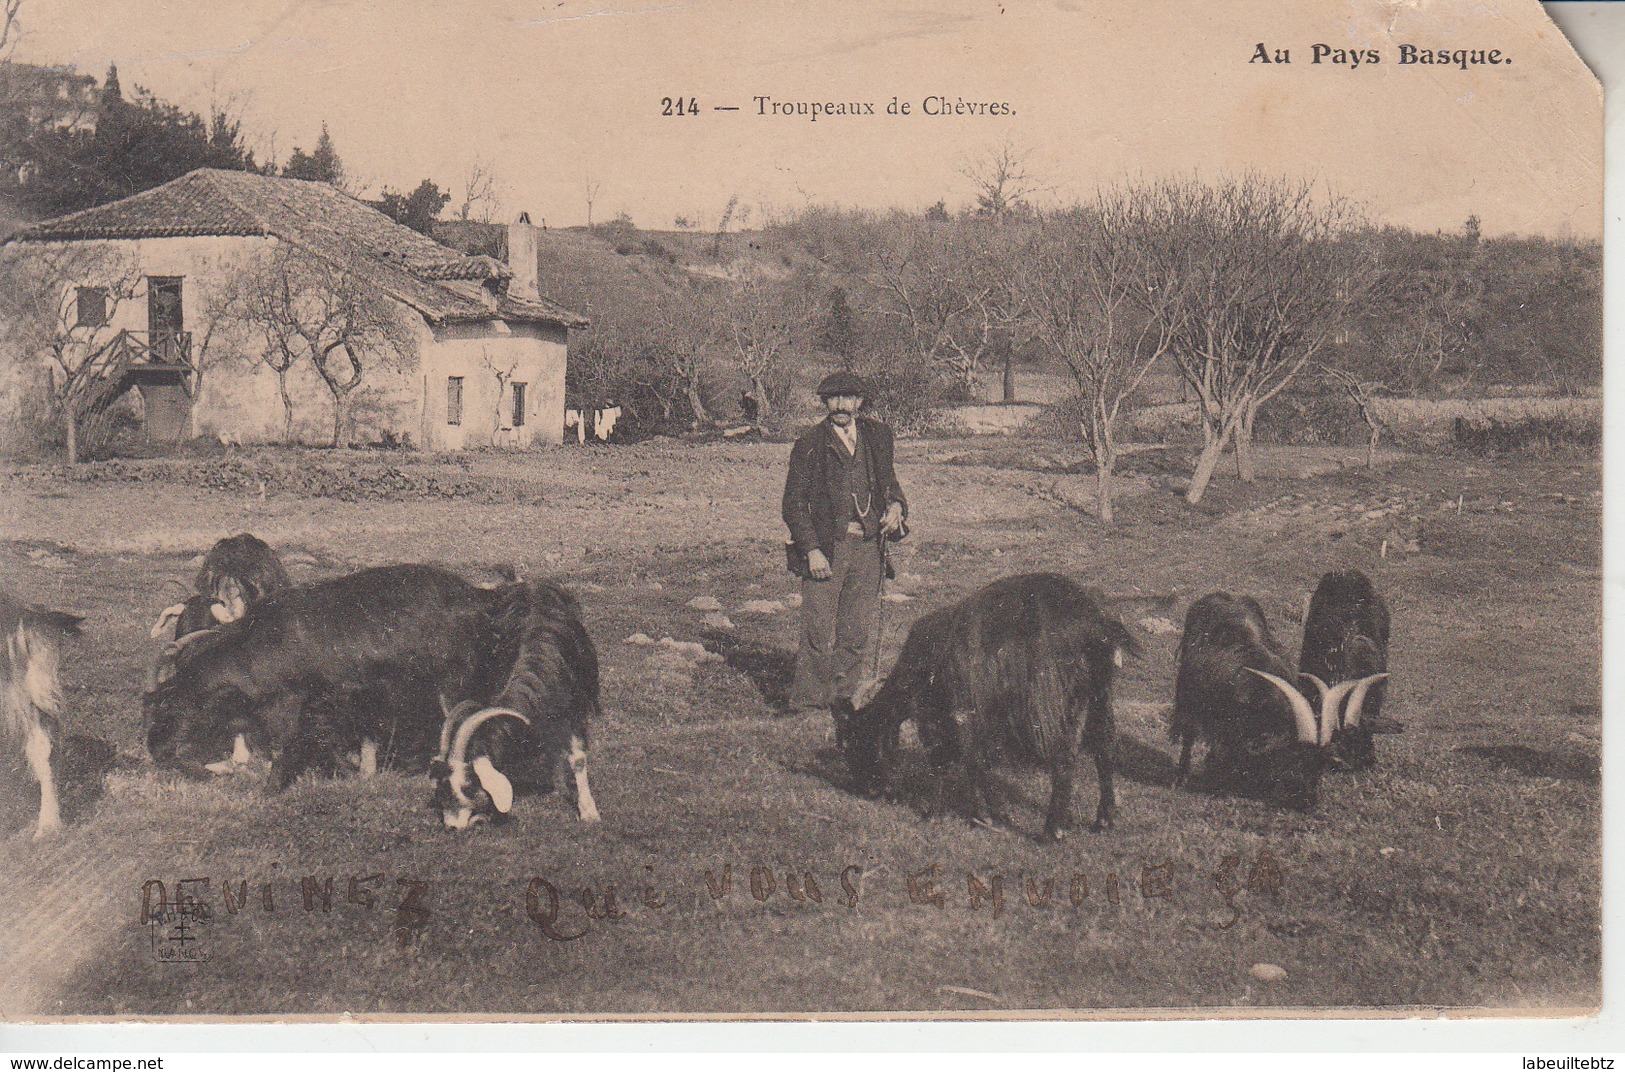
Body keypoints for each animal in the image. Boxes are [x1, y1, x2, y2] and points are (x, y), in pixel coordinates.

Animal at [432, 581, 604, 831]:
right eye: (442, 786)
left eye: (468, 786)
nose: (452, 826)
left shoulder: (573, 710)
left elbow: (578, 759)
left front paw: (589, 812)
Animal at [838, 574, 1131, 844]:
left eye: (854, 740)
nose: (867, 790)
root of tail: (1094, 624)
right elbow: (973, 759)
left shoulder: (949, 712)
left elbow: (952, 760)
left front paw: (946, 814)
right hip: (1099, 690)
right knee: (1105, 746)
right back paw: (1104, 819)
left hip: (1050, 698)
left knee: (1064, 757)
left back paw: (1052, 831)